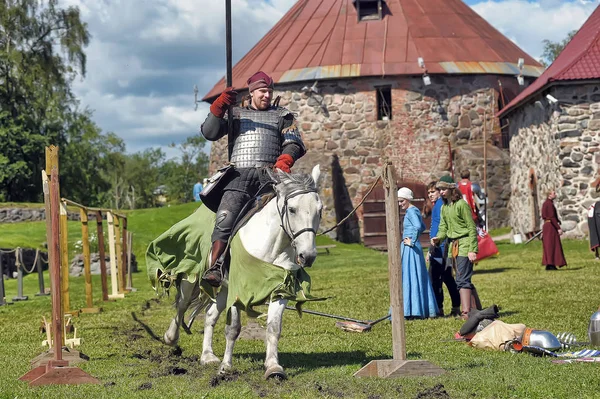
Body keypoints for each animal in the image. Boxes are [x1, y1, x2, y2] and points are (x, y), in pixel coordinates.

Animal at [163, 166, 324, 382]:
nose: (307, 256)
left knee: (210, 315)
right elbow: (233, 329)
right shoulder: (238, 290)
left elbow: (273, 328)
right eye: (292, 209)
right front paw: (226, 367)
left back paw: (207, 355)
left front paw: (273, 367)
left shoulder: (280, 291)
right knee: (181, 306)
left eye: (319, 210)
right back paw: (171, 338)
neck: (272, 246)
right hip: (192, 279)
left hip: (222, 290)